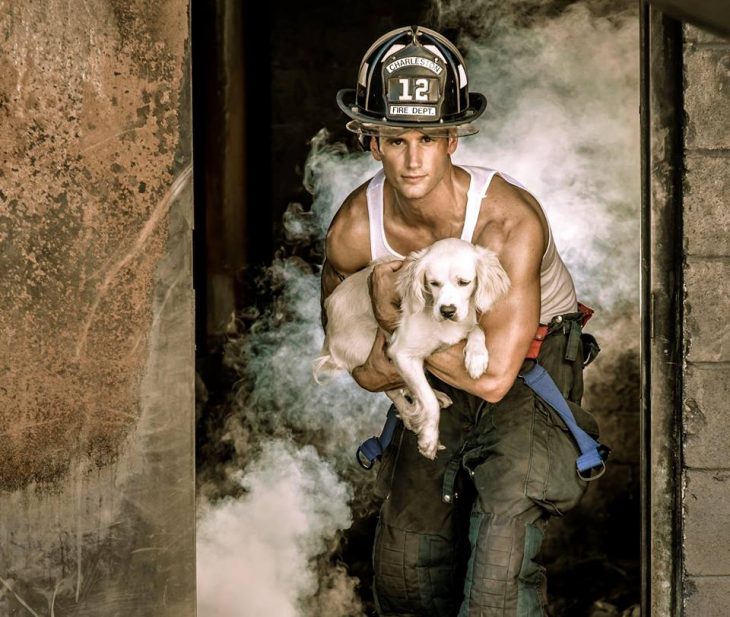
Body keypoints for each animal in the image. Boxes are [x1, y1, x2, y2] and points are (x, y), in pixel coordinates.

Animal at [316, 238, 510, 460]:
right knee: (393, 392)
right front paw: (429, 439)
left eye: (464, 282)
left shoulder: (461, 326)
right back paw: (410, 415)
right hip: (366, 346)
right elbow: (427, 401)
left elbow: (477, 329)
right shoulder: (401, 353)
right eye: (433, 283)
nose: (447, 311)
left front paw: (476, 357)